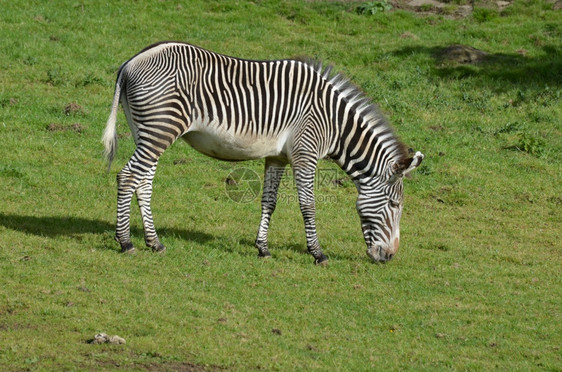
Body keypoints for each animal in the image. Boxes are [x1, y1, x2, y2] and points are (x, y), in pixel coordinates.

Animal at [101, 41, 420, 264]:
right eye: (395, 205)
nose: (390, 256)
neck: (335, 122)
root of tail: (130, 63)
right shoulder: (305, 153)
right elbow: (308, 205)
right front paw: (317, 253)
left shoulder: (277, 157)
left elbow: (269, 202)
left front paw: (263, 248)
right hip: (160, 130)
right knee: (127, 178)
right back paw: (126, 242)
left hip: (147, 132)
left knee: (143, 183)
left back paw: (154, 242)